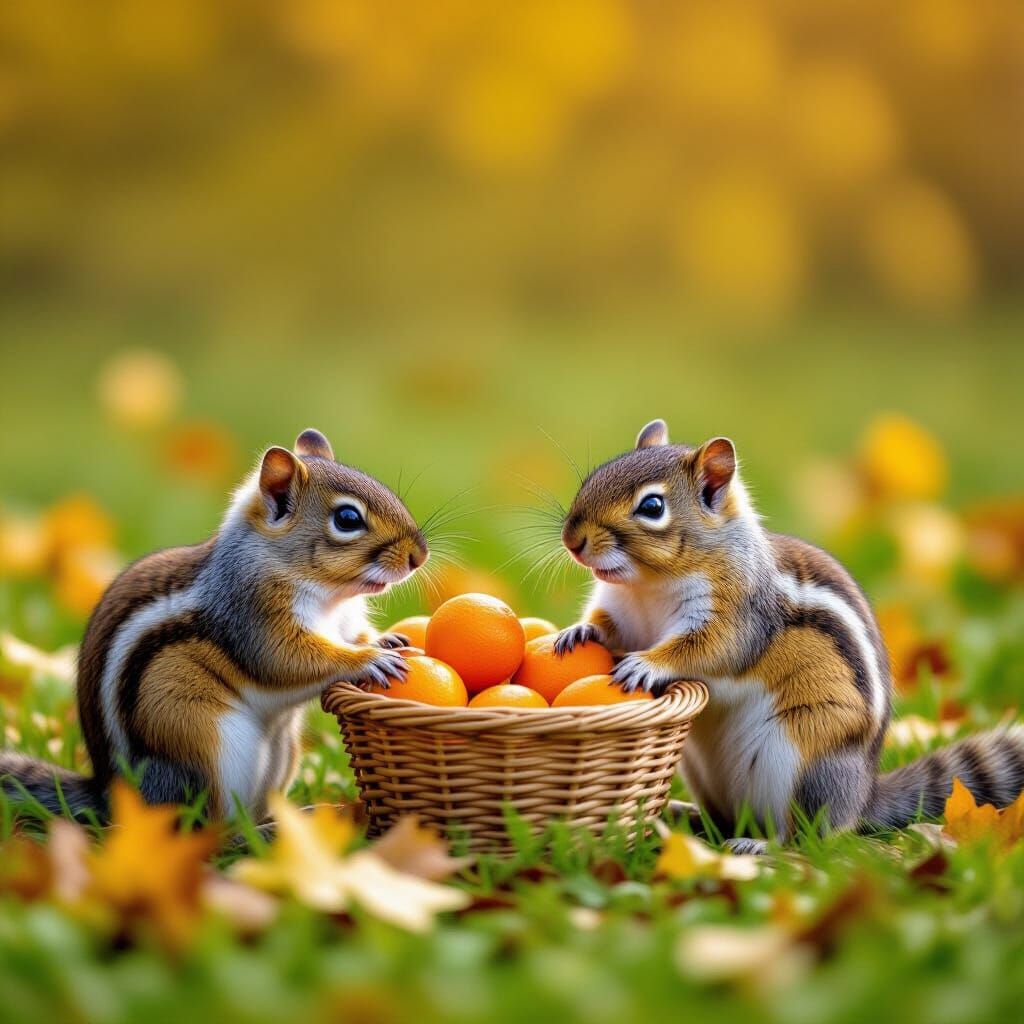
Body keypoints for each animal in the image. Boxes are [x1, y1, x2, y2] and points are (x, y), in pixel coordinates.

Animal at [0, 428, 425, 822]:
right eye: (348, 519)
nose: (419, 556)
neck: (330, 595)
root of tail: (116, 797)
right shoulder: (252, 615)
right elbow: (286, 660)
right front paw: (368, 659)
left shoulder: (345, 623)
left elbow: (353, 636)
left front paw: (386, 640)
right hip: (204, 745)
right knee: (207, 829)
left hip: (282, 753)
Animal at [554, 419, 1024, 851]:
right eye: (593, 477)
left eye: (652, 506)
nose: (572, 539)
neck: (646, 585)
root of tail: (863, 796)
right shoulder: (623, 611)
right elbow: (608, 626)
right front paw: (578, 631)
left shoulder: (739, 617)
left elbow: (709, 649)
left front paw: (647, 663)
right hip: (701, 769)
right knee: (724, 819)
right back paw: (688, 817)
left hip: (795, 763)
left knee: (805, 837)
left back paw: (757, 845)